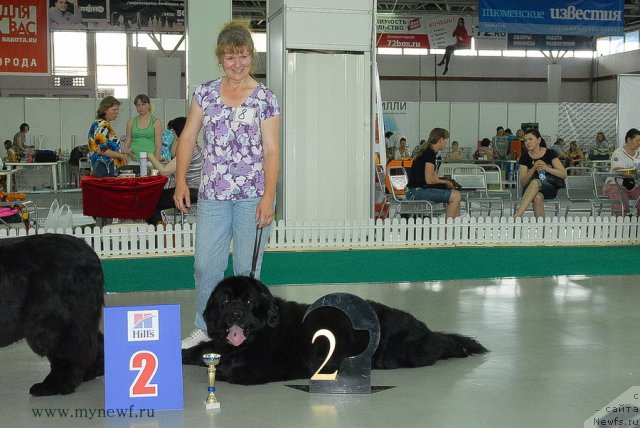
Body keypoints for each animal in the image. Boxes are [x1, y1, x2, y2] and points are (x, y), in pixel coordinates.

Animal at [0, 234, 104, 394]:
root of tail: (90, 253)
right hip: (78, 317)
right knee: (91, 343)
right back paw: (90, 372)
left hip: (51, 321)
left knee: (69, 352)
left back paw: (54, 386)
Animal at [182, 276, 488, 386]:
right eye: (224, 301)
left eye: (247, 302)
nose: (235, 314)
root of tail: (421, 325)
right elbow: (203, 349)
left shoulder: (284, 363)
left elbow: (242, 369)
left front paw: (227, 370)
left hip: (403, 352)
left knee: (437, 344)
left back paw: (459, 346)